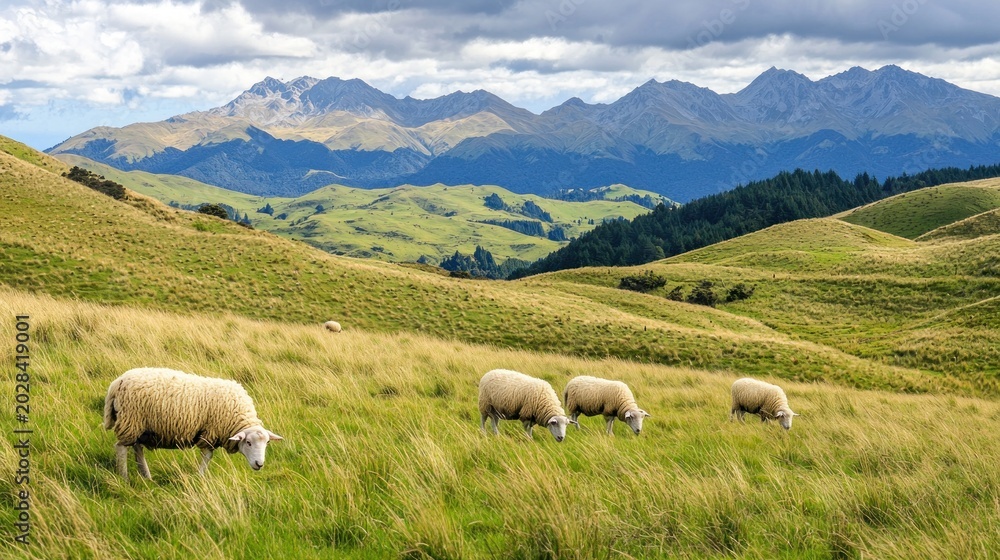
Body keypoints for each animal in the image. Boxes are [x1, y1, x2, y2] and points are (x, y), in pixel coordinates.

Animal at [103, 367, 283, 479]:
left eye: (267, 443)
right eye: (248, 443)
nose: (259, 464)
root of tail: (118, 381)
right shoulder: (210, 433)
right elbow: (207, 457)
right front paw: (200, 477)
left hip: (140, 426)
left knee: (137, 448)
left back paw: (146, 476)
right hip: (131, 421)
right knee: (121, 448)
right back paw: (124, 477)